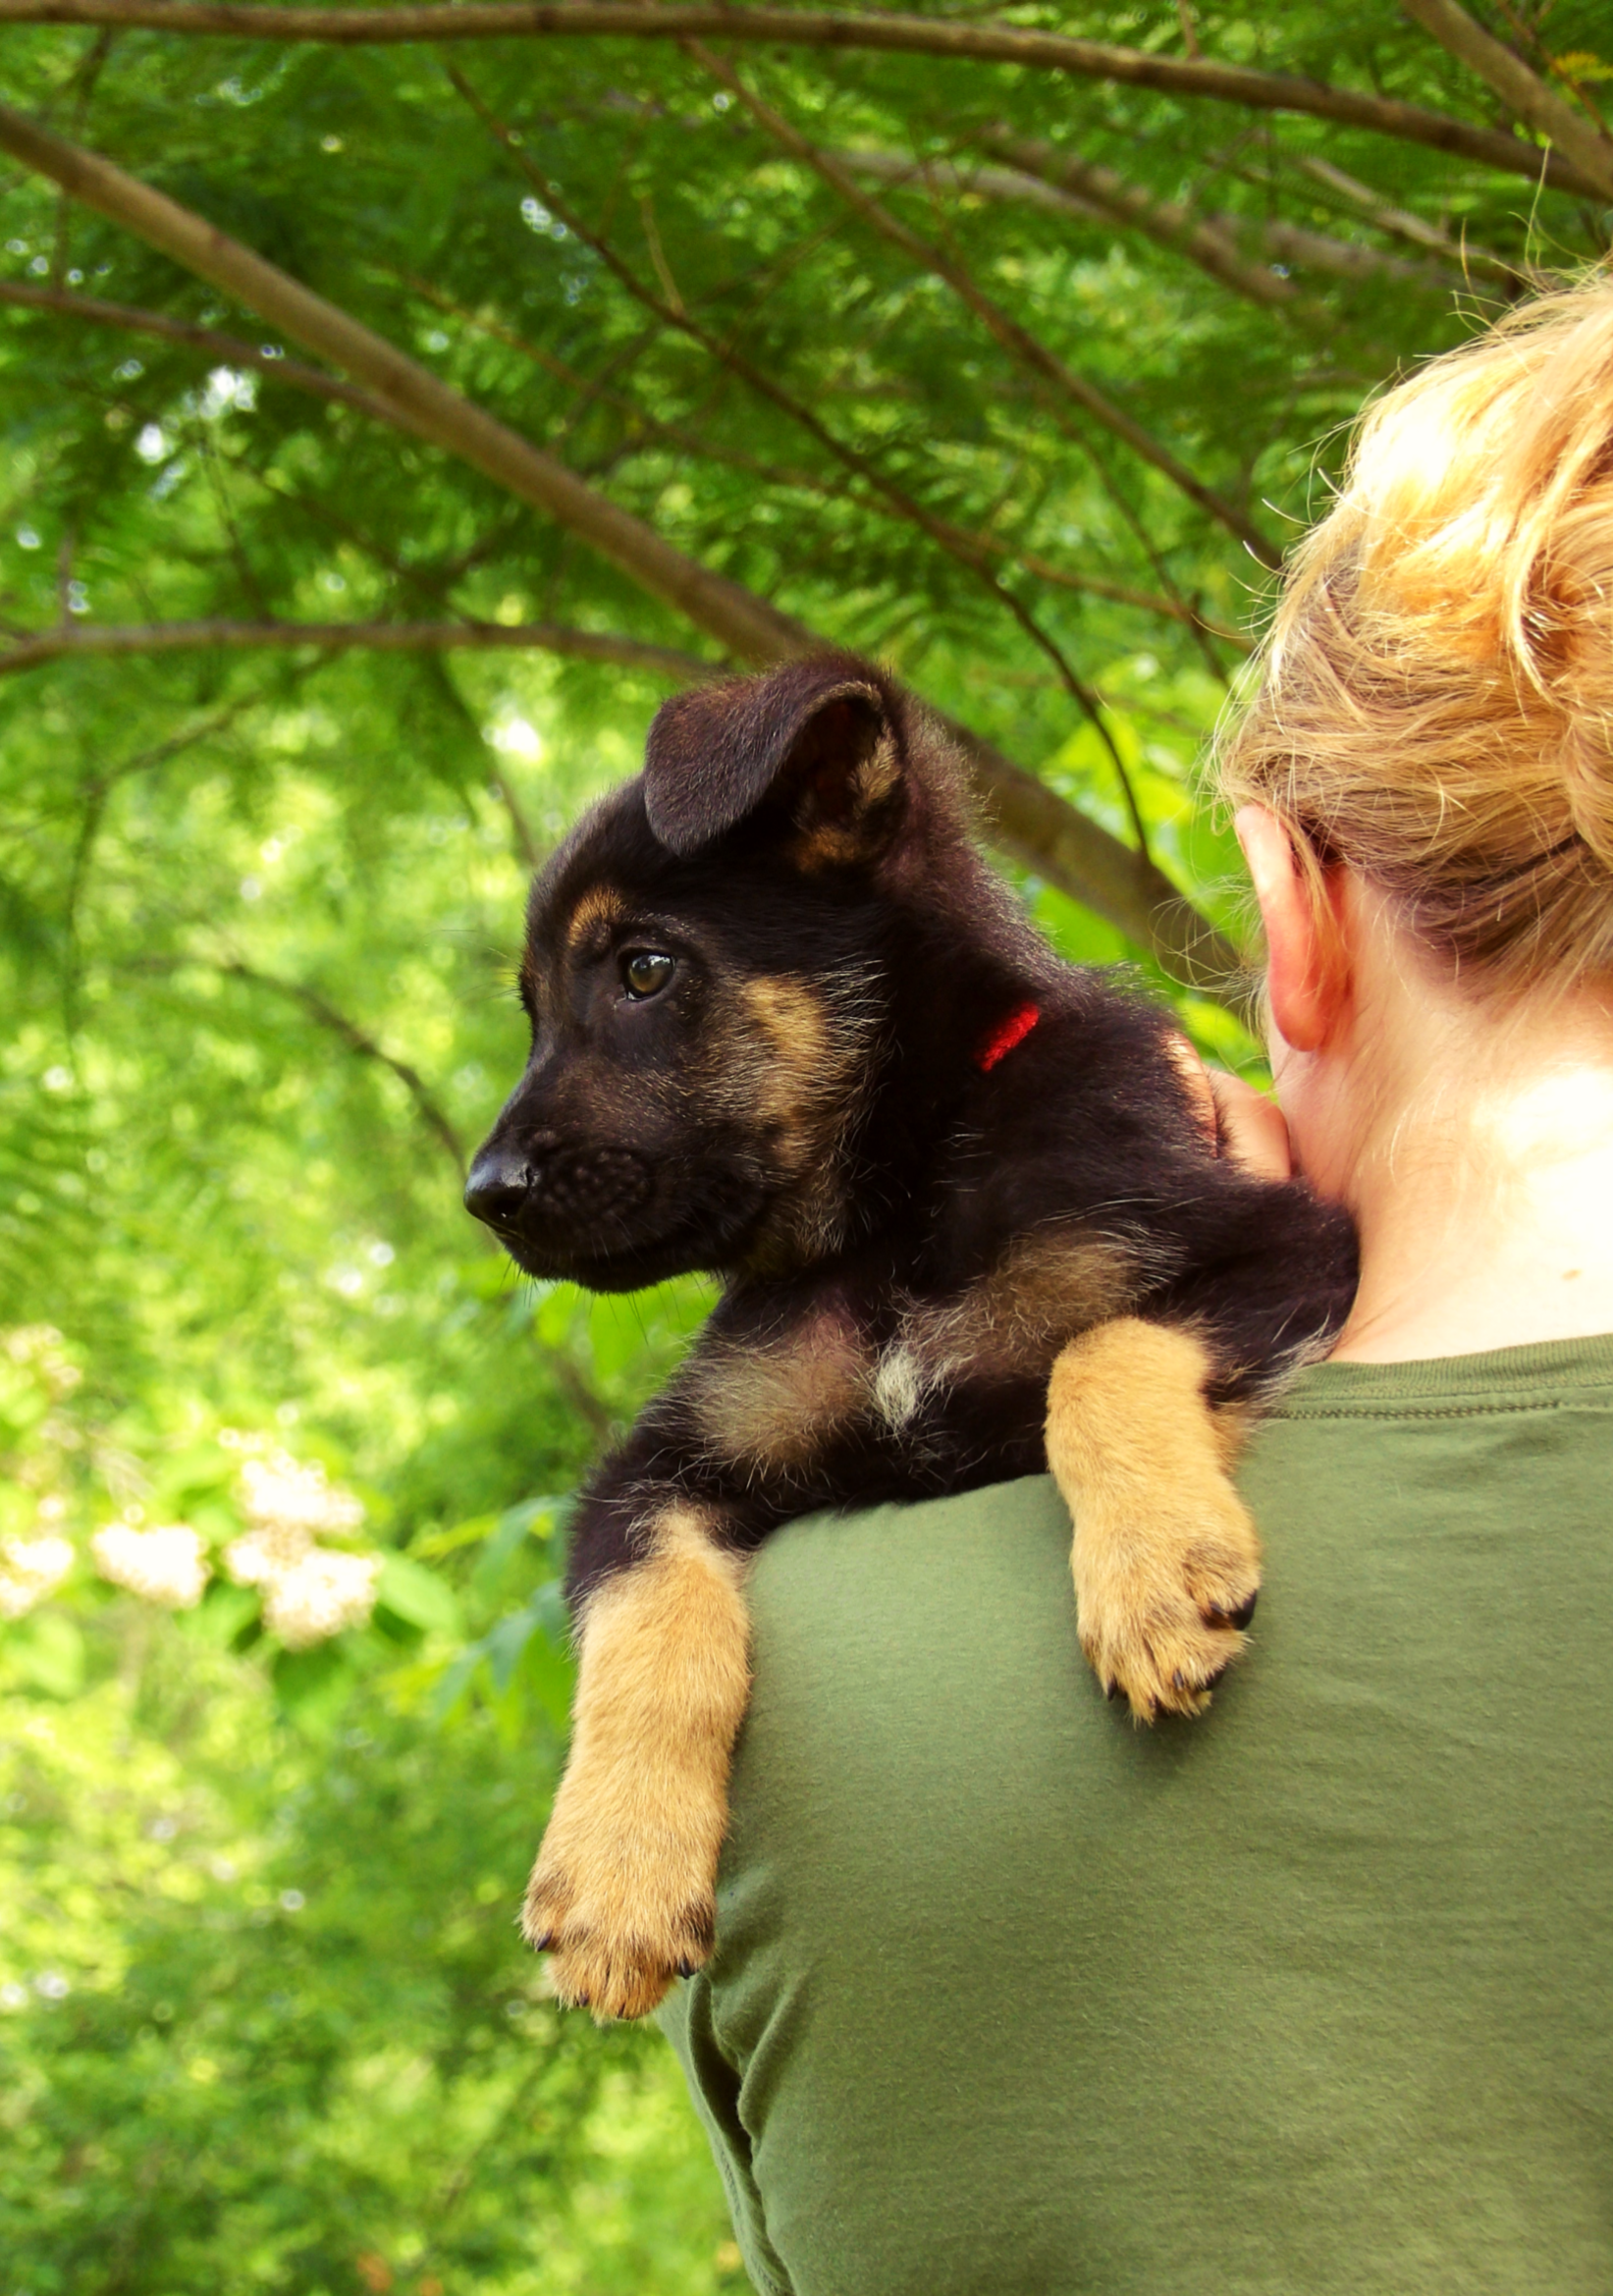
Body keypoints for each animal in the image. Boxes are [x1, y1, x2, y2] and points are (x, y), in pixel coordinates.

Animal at [465, 654, 1357, 2019]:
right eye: (531, 1010)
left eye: (643, 969)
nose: (483, 1193)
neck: (892, 1202)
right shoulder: (656, 1463)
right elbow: (648, 1615)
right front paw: (615, 1865)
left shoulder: (1287, 1242)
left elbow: (1098, 1351)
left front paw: (1151, 1564)